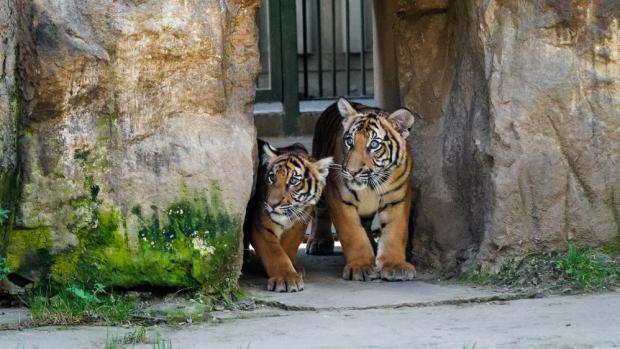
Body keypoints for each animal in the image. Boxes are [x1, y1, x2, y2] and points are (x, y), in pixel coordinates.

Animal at [245, 139, 332, 290]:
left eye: (293, 181)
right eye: (272, 177)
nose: (272, 204)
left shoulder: (300, 223)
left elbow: (289, 247)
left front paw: (294, 268)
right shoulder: (260, 227)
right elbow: (276, 253)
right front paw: (286, 278)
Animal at [308, 97, 416, 280]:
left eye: (374, 145)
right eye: (349, 142)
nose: (352, 171)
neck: (371, 186)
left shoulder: (397, 199)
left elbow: (395, 231)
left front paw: (394, 265)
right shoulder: (338, 198)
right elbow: (352, 233)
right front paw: (360, 266)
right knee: (320, 212)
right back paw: (320, 241)